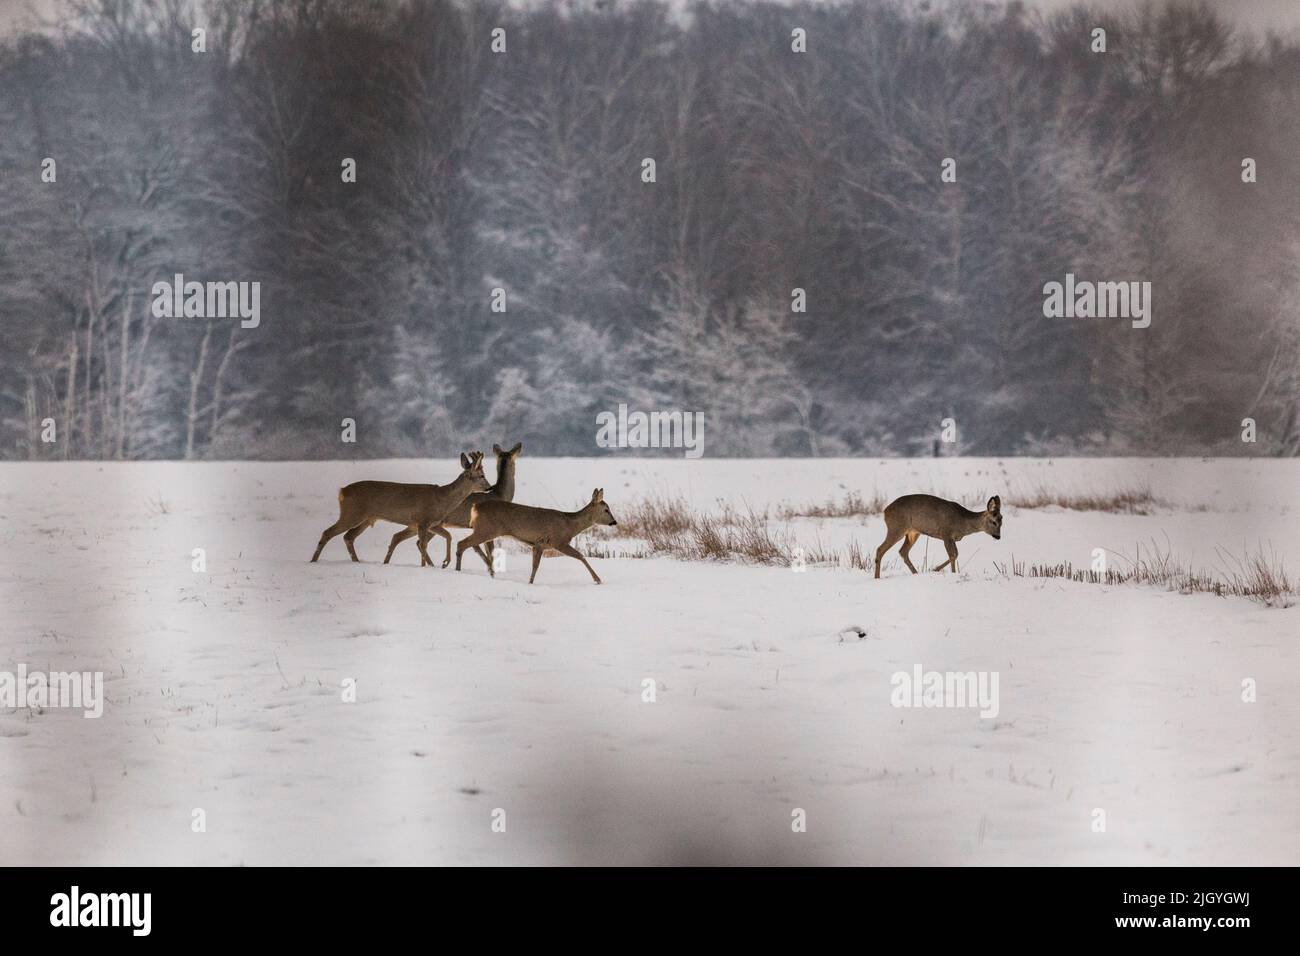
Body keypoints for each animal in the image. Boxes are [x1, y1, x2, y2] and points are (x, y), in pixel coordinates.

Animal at [308, 452, 488, 564]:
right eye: (481, 476)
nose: (489, 487)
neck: (442, 499)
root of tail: (342, 491)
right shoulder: (423, 521)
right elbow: (423, 545)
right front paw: (427, 566)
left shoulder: (431, 523)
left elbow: (446, 536)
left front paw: (443, 562)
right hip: (351, 513)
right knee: (328, 532)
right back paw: (313, 560)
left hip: (366, 518)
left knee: (348, 536)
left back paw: (356, 561)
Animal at [379, 442, 520, 567]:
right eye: (514, 461)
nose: (489, 487)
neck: (499, 495)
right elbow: (488, 553)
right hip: (431, 524)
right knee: (418, 542)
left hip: (416, 524)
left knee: (399, 537)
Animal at [457, 494, 618, 582]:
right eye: (606, 510)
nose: (614, 522)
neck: (570, 525)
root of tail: (475, 507)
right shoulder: (557, 541)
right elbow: (581, 556)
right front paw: (598, 579)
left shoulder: (538, 544)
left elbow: (535, 565)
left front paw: (530, 582)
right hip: (486, 530)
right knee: (461, 544)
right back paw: (457, 570)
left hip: (485, 531)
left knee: (472, 546)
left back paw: (488, 572)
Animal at [873, 496, 1003, 580]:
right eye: (993, 522)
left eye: (1002, 521)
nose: (998, 536)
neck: (963, 522)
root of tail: (885, 511)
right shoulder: (946, 534)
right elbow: (952, 555)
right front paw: (945, 572)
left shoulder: (953, 538)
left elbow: (956, 554)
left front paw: (935, 569)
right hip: (896, 528)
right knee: (880, 549)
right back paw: (877, 578)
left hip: (913, 532)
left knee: (903, 551)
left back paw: (916, 573)